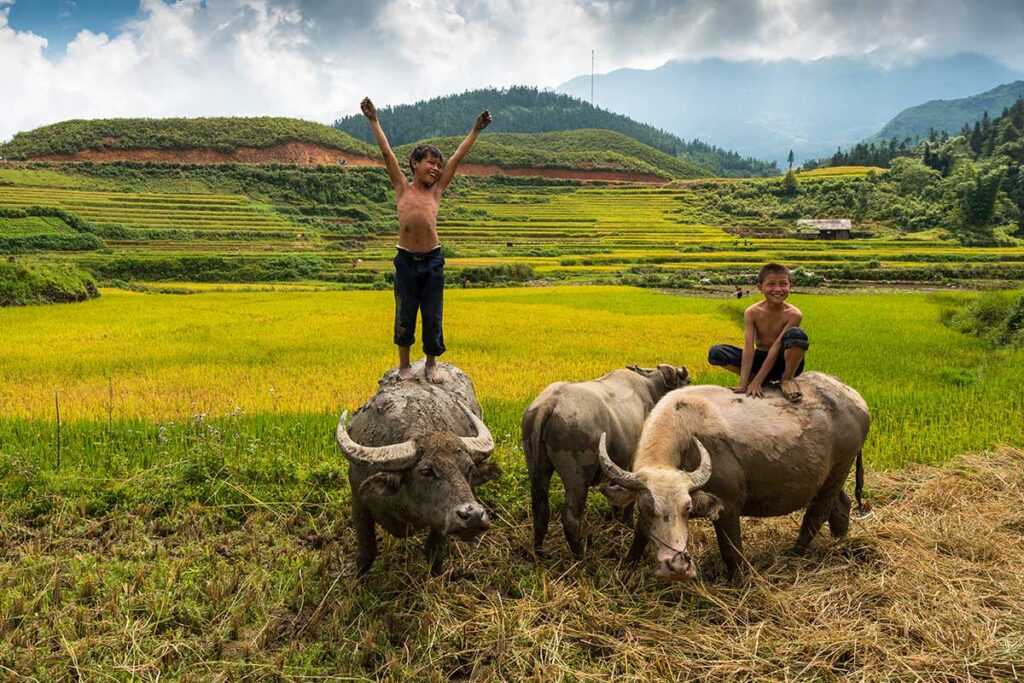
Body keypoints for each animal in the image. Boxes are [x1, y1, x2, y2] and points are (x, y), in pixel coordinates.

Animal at [337, 362, 501, 577]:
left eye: (469, 467)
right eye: (426, 471)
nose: (473, 516)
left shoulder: (440, 518)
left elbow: (434, 552)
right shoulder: (359, 504)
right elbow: (366, 552)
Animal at [524, 366, 692, 557]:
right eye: (686, 381)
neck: (651, 388)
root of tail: (550, 402)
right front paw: (627, 521)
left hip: (537, 468)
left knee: (540, 510)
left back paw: (540, 551)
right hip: (578, 476)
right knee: (570, 517)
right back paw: (580, 556)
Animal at [598, 374, 872, 581]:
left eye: (687, 508)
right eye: (646, 508)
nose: (676, 567)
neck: (687, 442)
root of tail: (857, 400)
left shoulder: (728, 507)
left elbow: (731, 550)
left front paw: (737, 580)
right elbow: (639, 536)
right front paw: (628, 567)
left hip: (838, 470)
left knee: (817, 513)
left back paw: (795, 554)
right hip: (829, 477)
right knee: (841, 504)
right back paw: (840, 540)